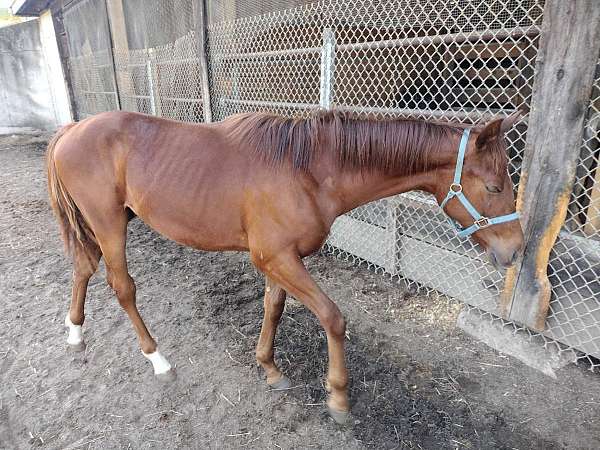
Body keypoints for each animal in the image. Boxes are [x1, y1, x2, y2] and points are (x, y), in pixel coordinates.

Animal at [47, 109, 524, 422]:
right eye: (494, 186)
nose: (516, 250)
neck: (307, 169)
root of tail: (73, 129)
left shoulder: (279, 260)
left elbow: (273, 309)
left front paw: (270, 368)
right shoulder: (275, 257)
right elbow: (333, 317)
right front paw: (338, 398)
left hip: (104, 224)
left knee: (83, 268)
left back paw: (75, 332)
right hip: (109, 224)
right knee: (121, 285)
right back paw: (157, 359)